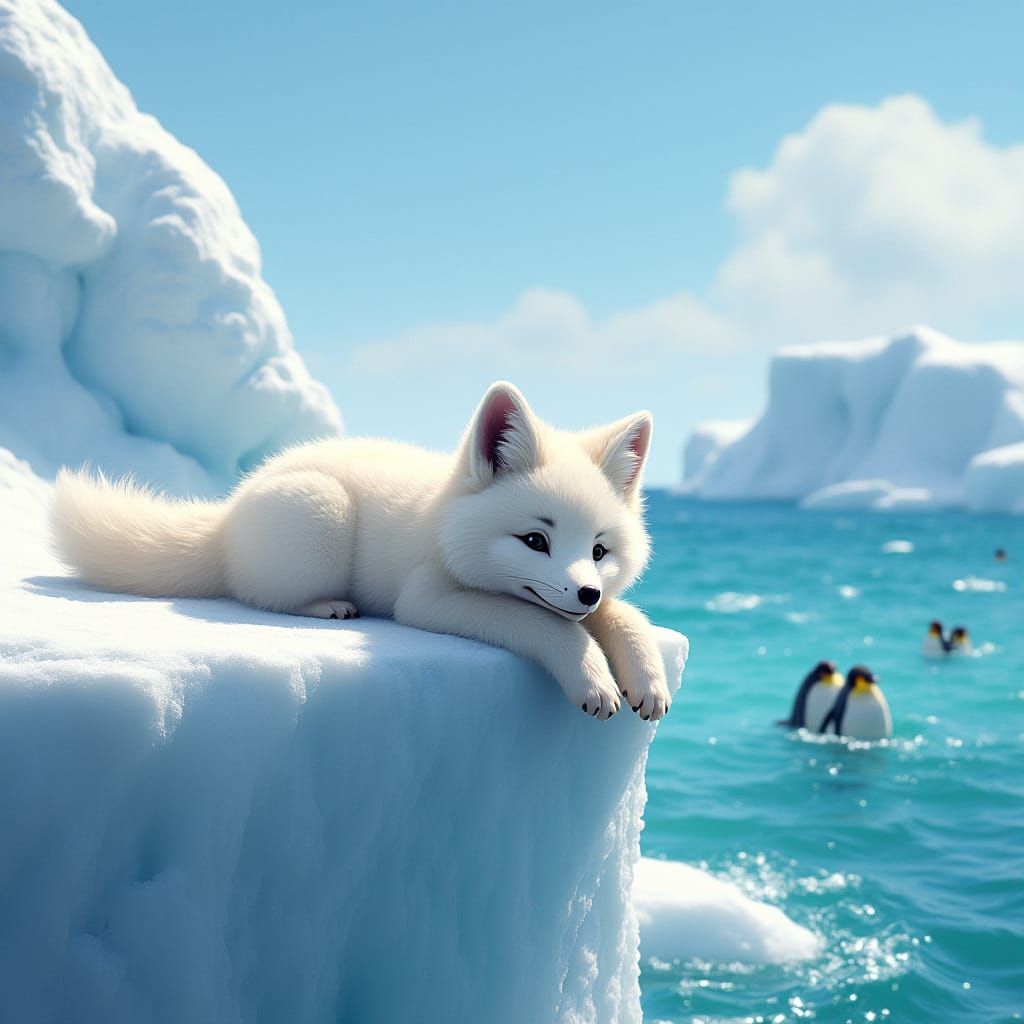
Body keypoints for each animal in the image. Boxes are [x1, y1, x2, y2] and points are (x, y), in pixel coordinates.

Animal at [52, 381, 671, 721]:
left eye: (599, 551)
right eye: (535, 540)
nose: (586, 592)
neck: (441, 516)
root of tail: (226, 517)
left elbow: (624, 615)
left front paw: (648, 680)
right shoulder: (426, 599)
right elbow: (544, 623)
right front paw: (594, 680)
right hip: (322, 514)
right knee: (258, 593)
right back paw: (325, 607)